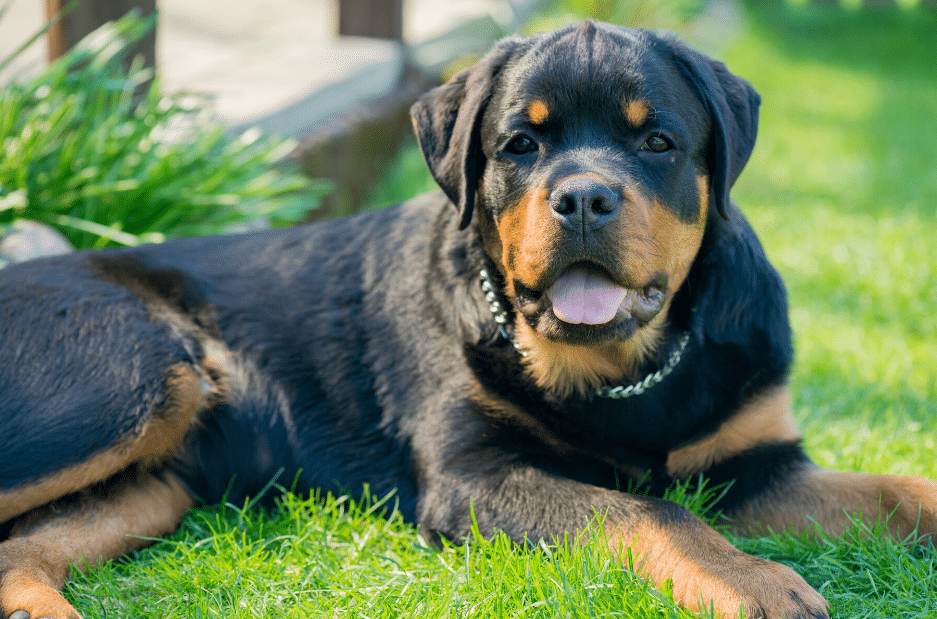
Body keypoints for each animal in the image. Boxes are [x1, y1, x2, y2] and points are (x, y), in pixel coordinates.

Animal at [1, 19, 936, 619]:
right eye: (521, 144)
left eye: (656, 142)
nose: (583, 197)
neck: (623, 374)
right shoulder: (474, 473)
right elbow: (645, 510)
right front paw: (756, 583)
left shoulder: (755, 463)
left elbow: (901, 486)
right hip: (131, 377)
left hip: (158, 480)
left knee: (18, 549)